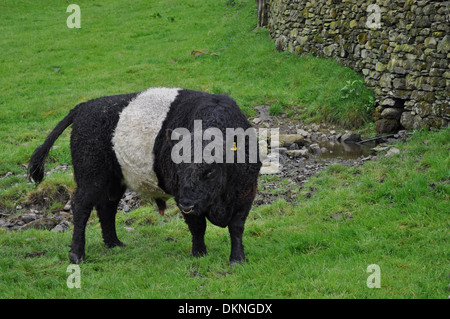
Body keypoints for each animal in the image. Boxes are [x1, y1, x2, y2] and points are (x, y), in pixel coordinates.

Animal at [28, 87, 260, 264]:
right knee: (81, 207)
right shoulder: (182, 195)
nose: (187, 203)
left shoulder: (246, 193)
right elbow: (198, 226)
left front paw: (237, 259)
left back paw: (114, 243)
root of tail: (84, 106)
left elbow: (236, 227)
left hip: (114, 181)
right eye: (179, 169)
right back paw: (77, 254)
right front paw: (199, 254)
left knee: (106, 207)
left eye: (210, 170)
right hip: (91, 177)